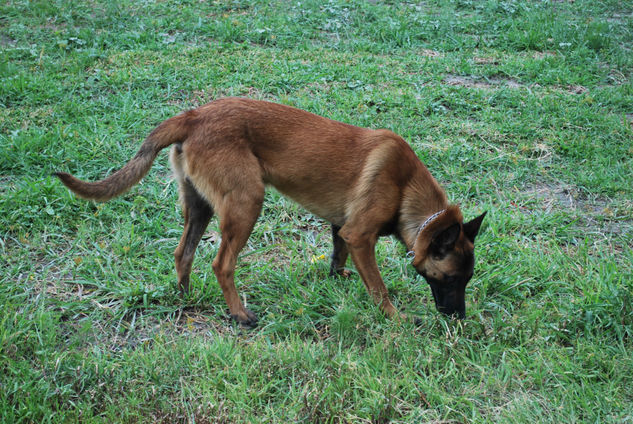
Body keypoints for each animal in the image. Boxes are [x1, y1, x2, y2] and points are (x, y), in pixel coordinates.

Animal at [56, 97, 486, 326]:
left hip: (199, 207)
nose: (459, 318)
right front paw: (395, 317)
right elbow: (378, 288)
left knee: (183, 253)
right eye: (452, 280)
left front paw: (337, 278)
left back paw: (185, 297)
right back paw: (239, 314)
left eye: (467, 280)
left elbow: (337, 255)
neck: (405, 187)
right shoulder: (361, 235)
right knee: (221, 264)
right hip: (246, 204)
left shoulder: (342, 228)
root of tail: (193, 116)